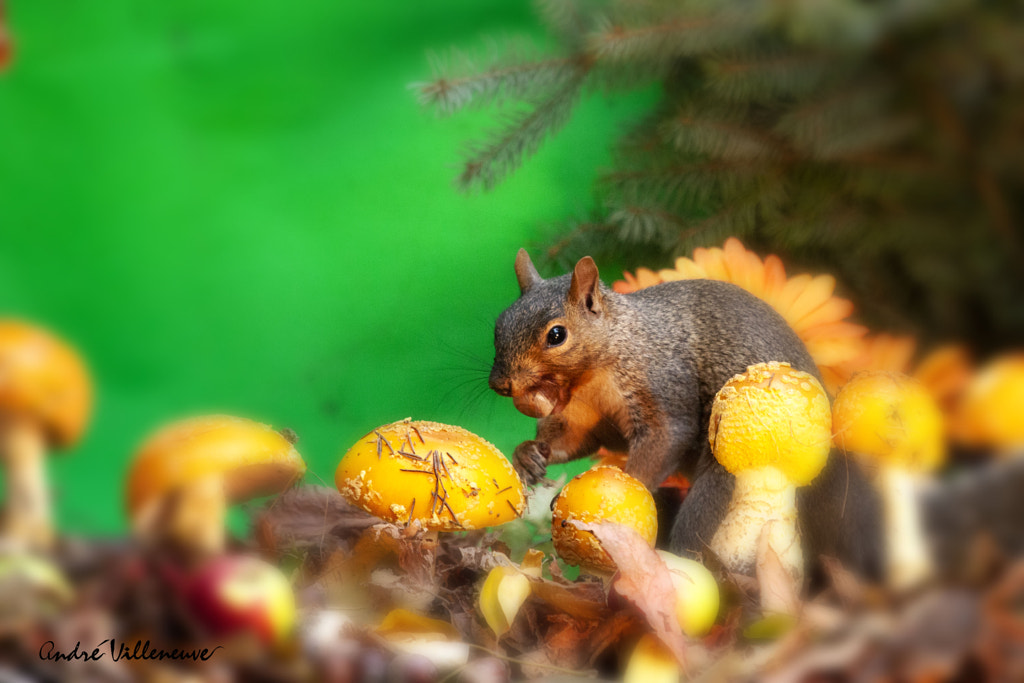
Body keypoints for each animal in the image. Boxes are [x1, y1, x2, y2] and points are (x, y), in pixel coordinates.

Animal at [487, 250, 880, 581]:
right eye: (498, 324)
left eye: (557, 334)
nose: (499, 384)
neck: (592, 375)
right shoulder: (588, 417)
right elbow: (571, 440)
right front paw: (528, 454)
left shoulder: (665, 391)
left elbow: (664, 440)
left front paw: (630, 482)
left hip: (720, 483)